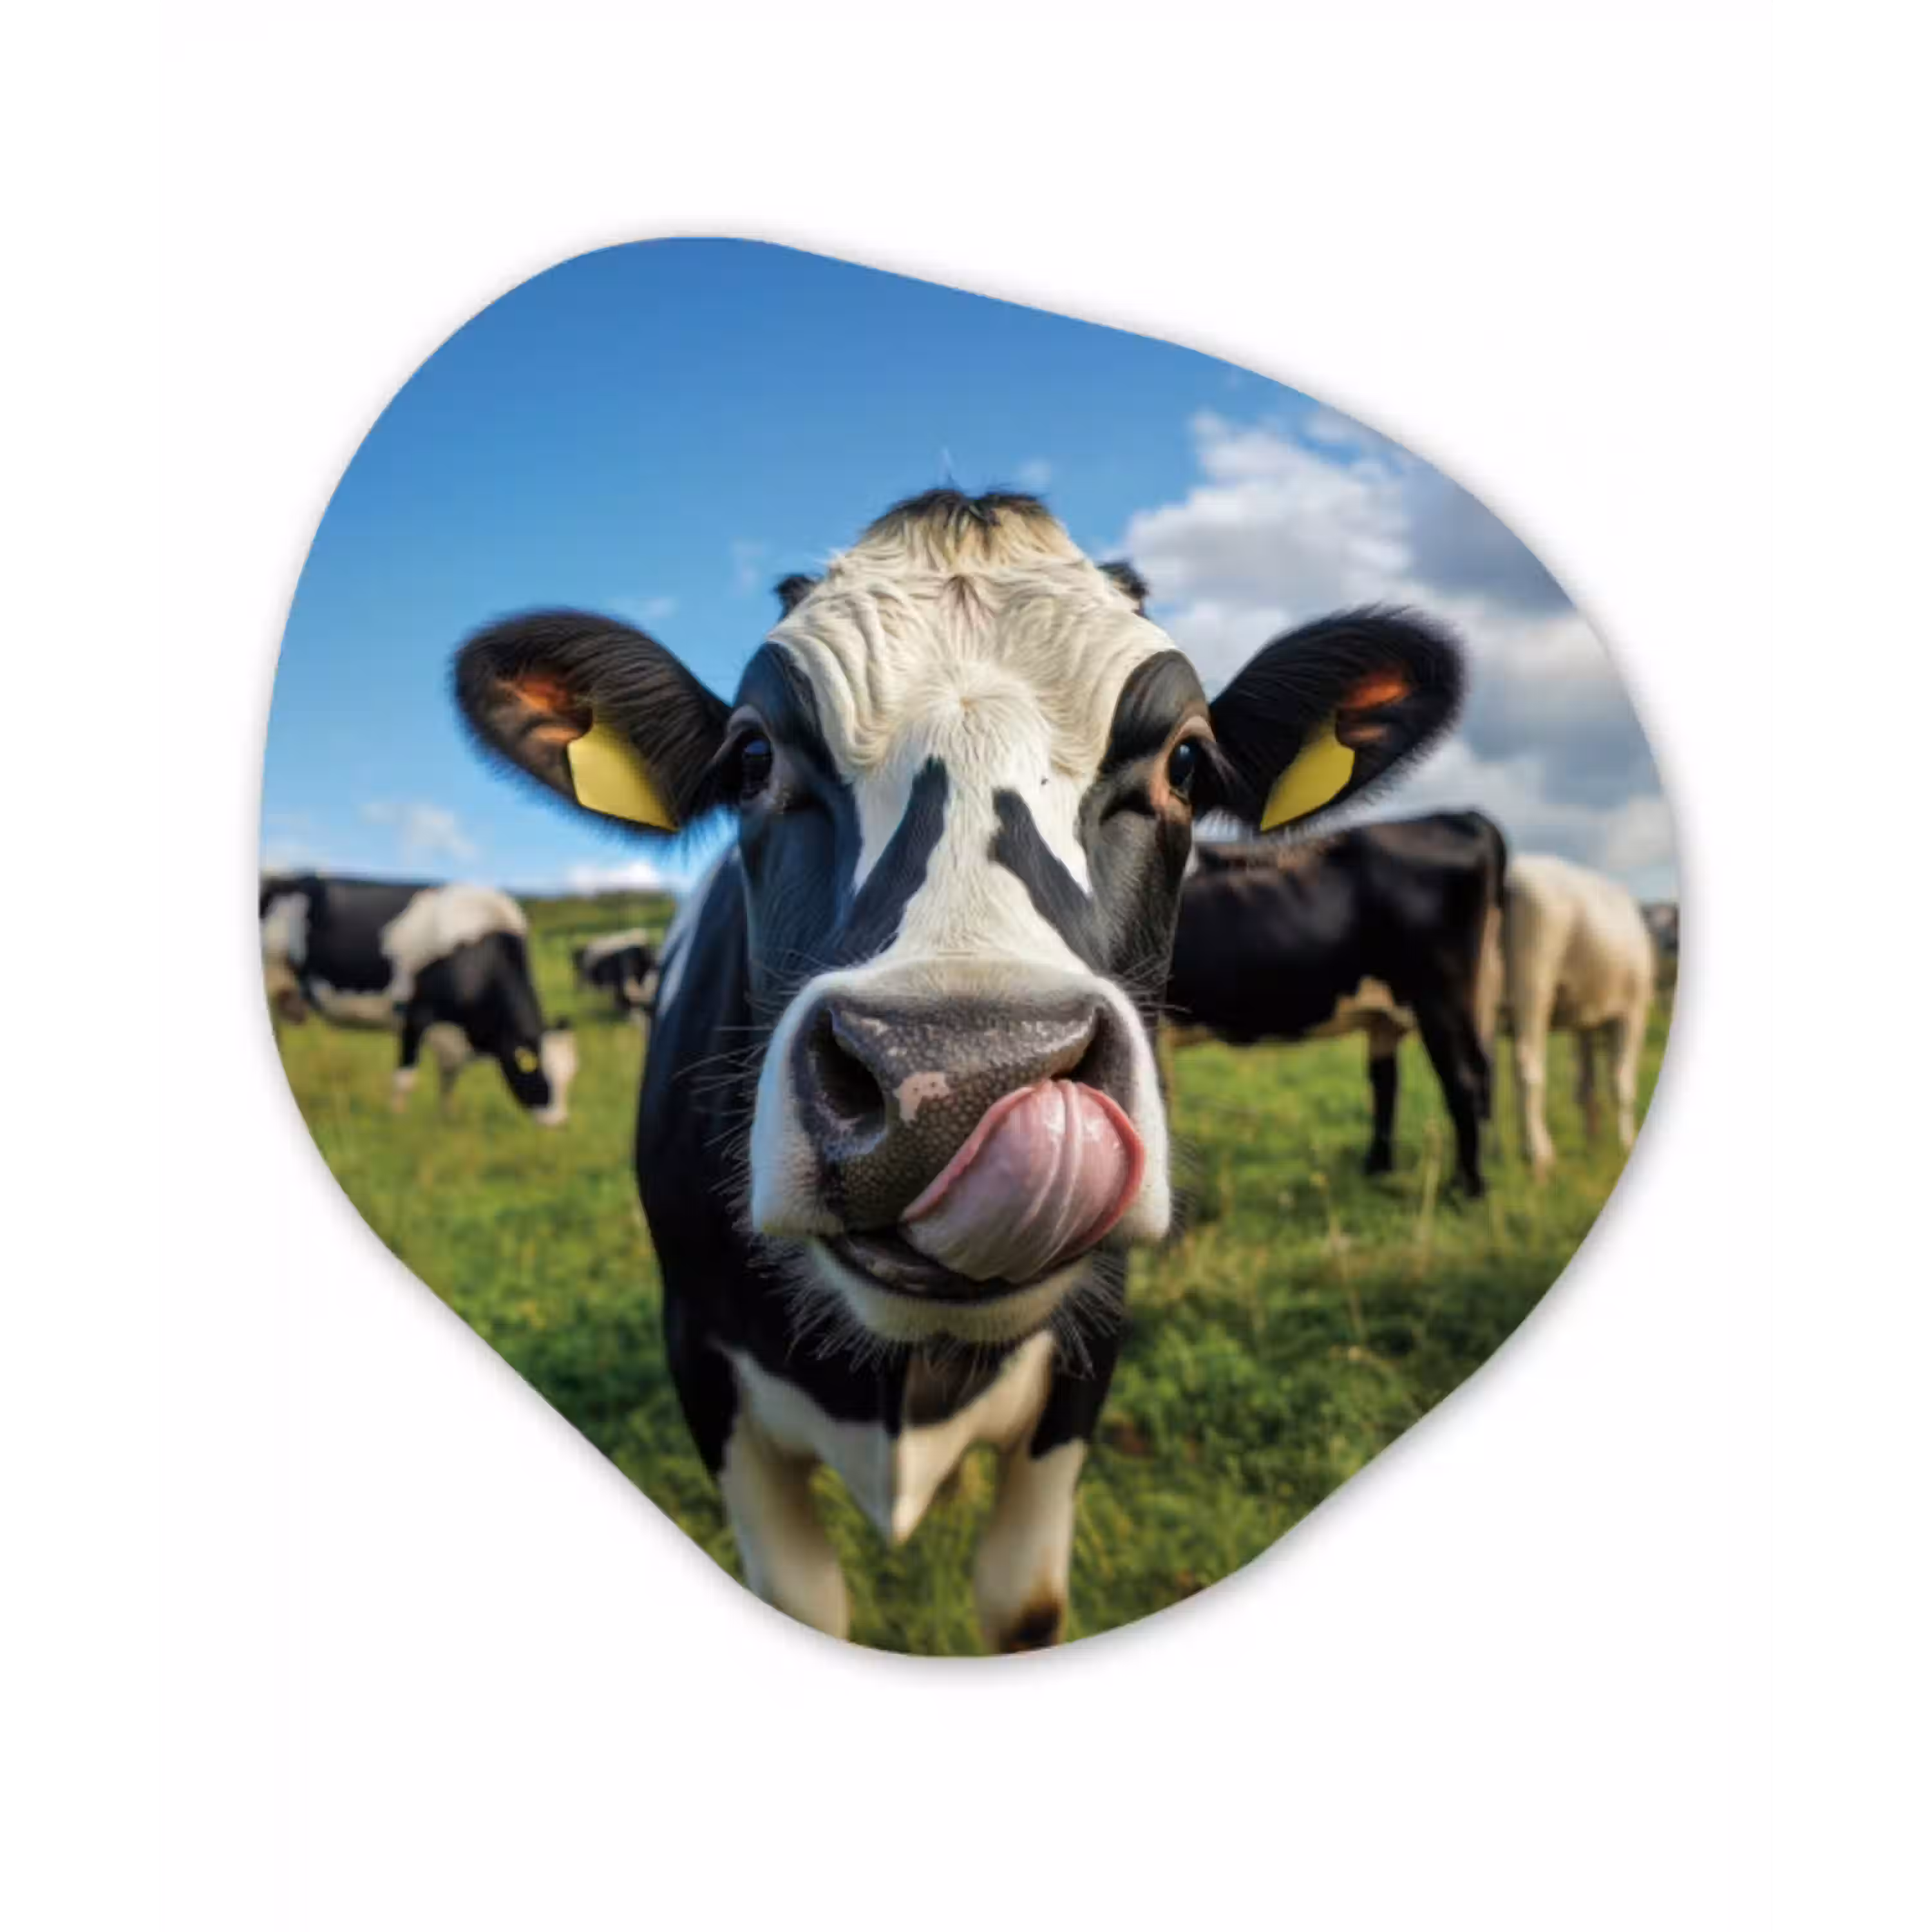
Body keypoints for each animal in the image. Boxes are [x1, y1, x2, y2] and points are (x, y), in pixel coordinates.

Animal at [258, 873, 578, 1124]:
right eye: (538, 1073)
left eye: (569, 1076)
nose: (559, 1122)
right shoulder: (415, 1014)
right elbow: (405, 1079)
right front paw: (396, 1119)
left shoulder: (454, 1035)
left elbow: (449, 1079)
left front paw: (447, 1117)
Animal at [1162, 811, 1507, 1196]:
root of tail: (1463, 817)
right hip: (1439, 1004)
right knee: (1399, 1080)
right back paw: (1380, 1171)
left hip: (1439, 997)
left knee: (1463, 1082)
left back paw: (1466, 1188)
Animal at [1499, 853, 1654, 1179]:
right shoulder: (1633, 1013)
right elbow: (1622, 1084)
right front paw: (1625, 1144)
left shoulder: (1584, 1022)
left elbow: (1586, 1087)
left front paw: (1593, 1145)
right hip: (1533, 981)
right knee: (1528, 1066)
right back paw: (1538, 1156)